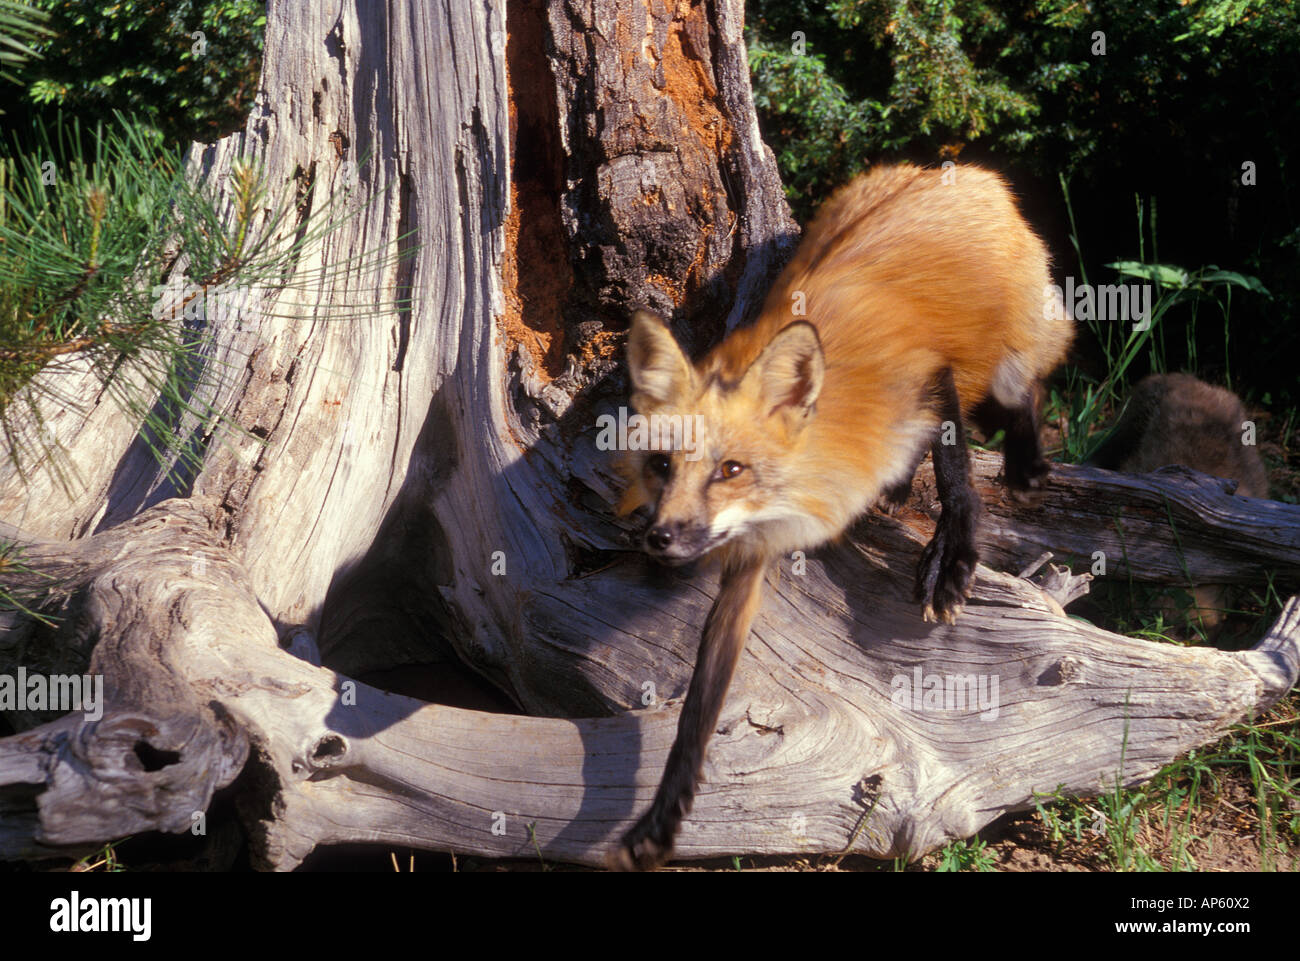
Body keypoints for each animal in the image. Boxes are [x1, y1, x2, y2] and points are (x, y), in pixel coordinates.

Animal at [611, 163, 1074, 871]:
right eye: (661, 464)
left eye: (731, 470)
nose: (660, 539)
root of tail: (958, 171)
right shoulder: (749, 558)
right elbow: (701, 704)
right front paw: (664, 815)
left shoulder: (930, 377)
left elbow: (957, 474)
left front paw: (952, 557)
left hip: (1005, 355)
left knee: (1026, 390)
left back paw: (1024, 462)